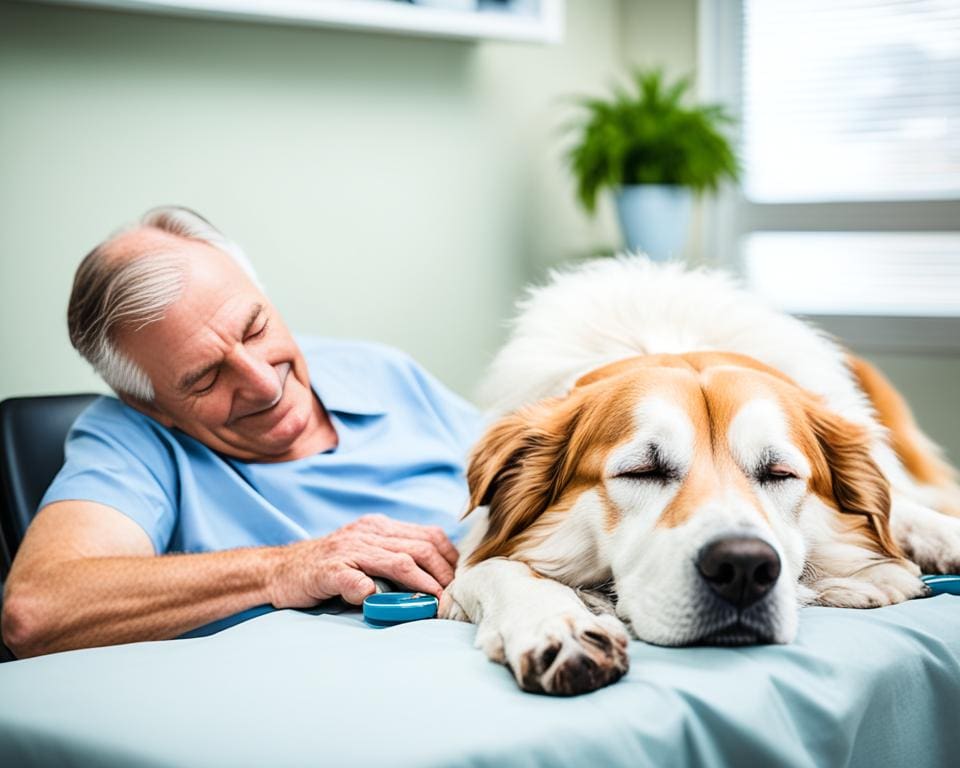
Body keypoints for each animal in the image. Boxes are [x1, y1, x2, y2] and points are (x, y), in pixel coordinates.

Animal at [440, 256, 960, 696]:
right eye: (642, 471)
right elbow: (495, 568)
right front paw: (558, 626)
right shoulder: (475, 549)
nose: (744, 568)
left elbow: (909, 517)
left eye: (779, 473)